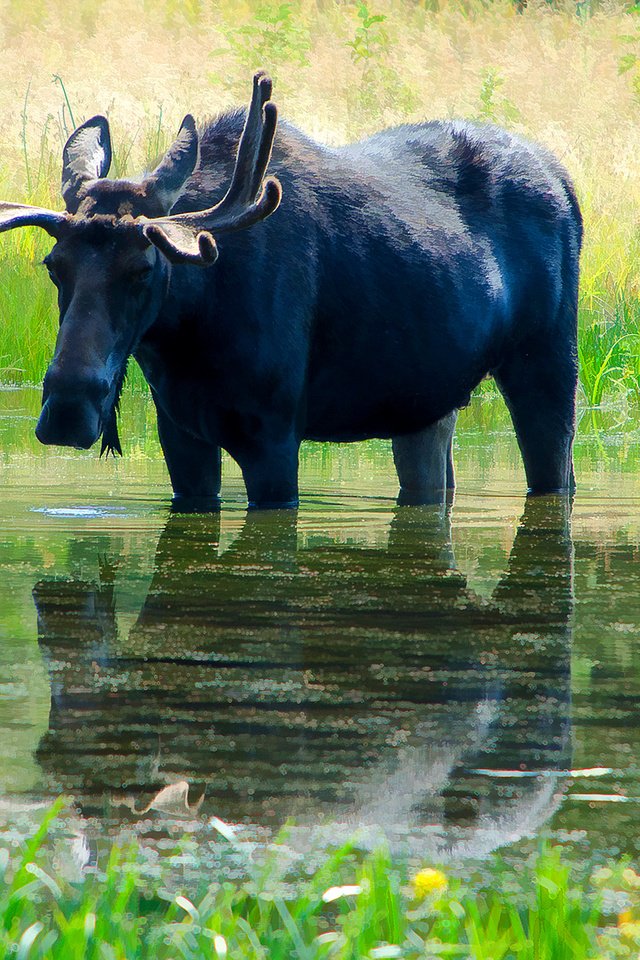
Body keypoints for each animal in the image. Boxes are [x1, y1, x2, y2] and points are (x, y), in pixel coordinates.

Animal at [0, 75, 584, 510]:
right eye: (54, 266)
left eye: (143, 268)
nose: (68, 409)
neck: (188, 335)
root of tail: (565, 180)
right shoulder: (180, 436)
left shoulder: (275, 434)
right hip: (426, 401)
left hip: (548, 362)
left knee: (558, 472)